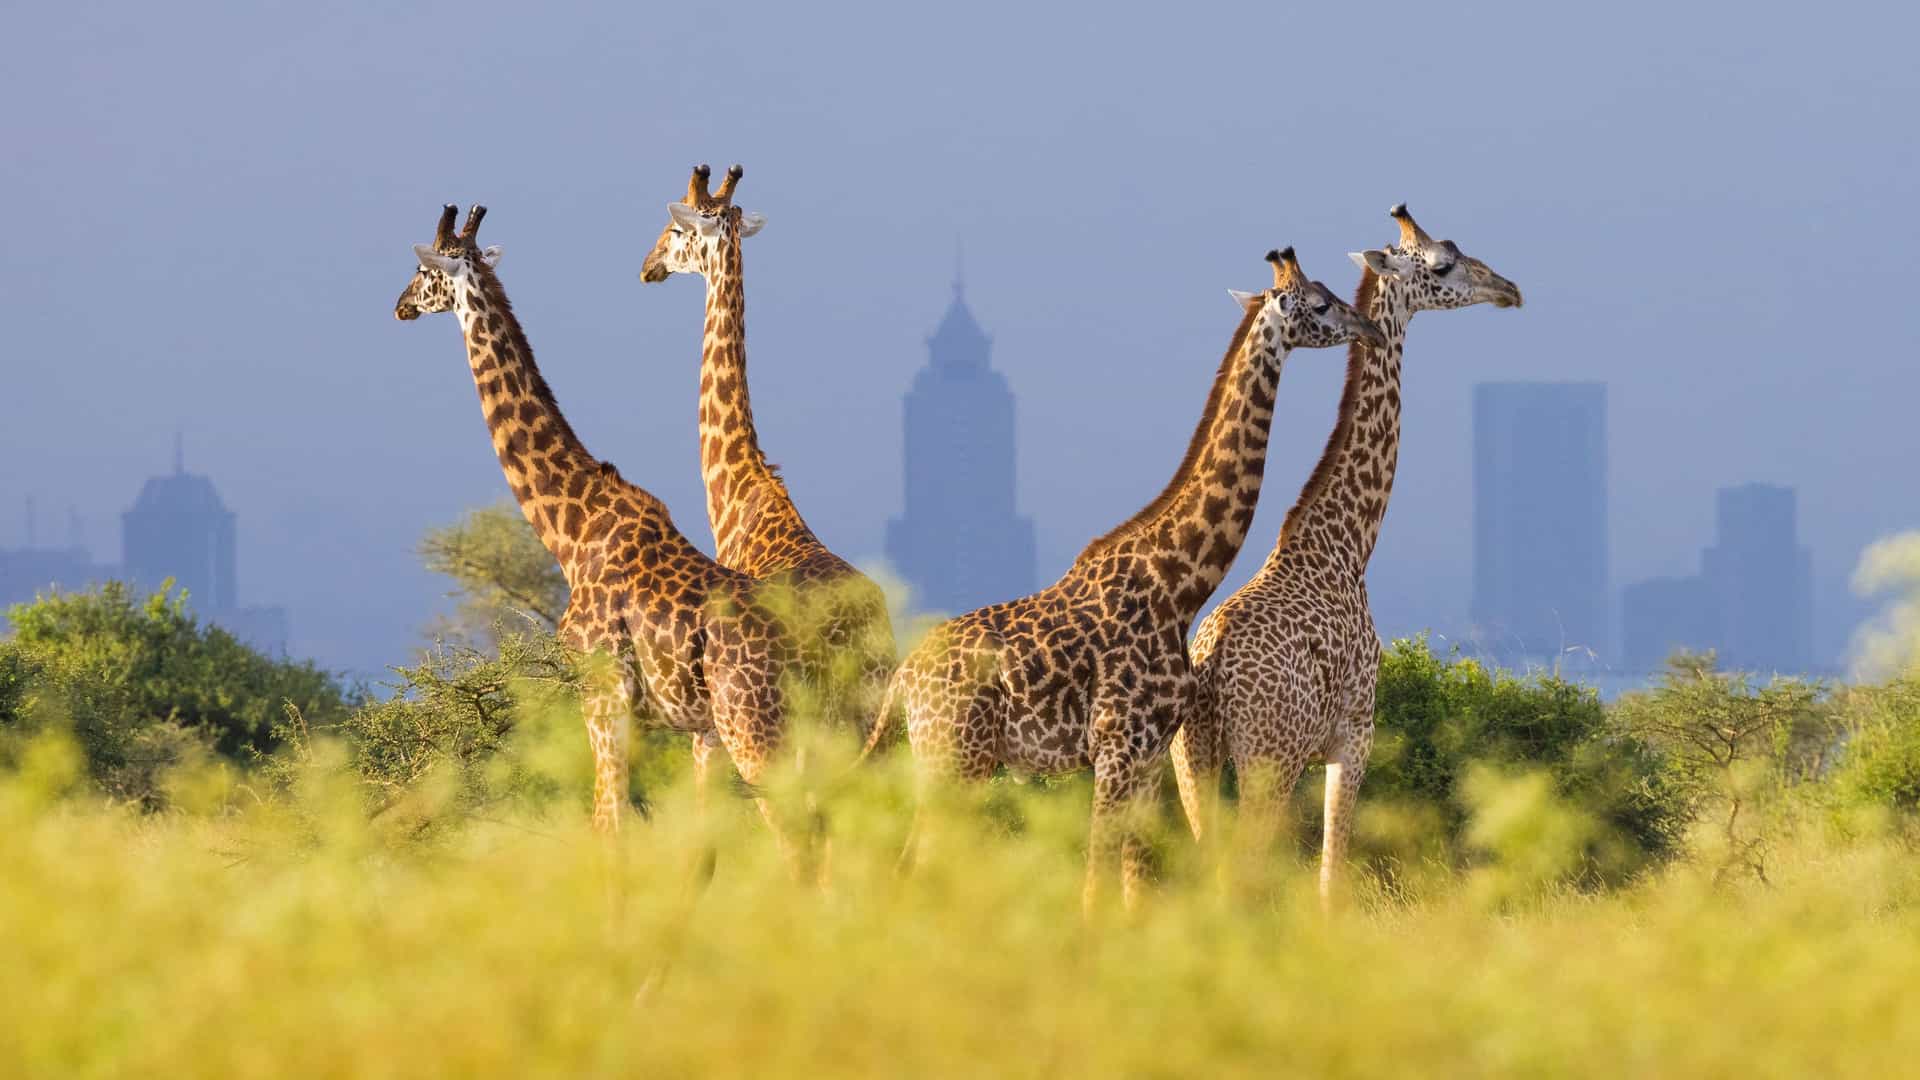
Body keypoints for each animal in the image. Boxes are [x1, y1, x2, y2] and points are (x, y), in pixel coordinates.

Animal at [394, 203, 811, 861]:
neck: (571, 529)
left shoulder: (602, 695)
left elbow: (606, 826)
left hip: (751, 729)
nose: (400, 305)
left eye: (421, 269)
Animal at [865, 249, 1385, 910]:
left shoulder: (1150, 755)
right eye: (1320, 303)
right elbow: (1094, 882)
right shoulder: (1116, 747)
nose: (1367, 329)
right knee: (912, 864)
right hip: (954, 758)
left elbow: (1133, 883)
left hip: (953, 759)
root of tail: (904, 678)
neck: (1179, 582)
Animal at [1169, 204, 1522, 909]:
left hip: (1191, 757)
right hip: (1266, 758)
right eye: (1444, 263)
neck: (1348, 545)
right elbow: (1333, 875)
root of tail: (1212, 666)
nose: (1508, 288)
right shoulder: (1356, 732)